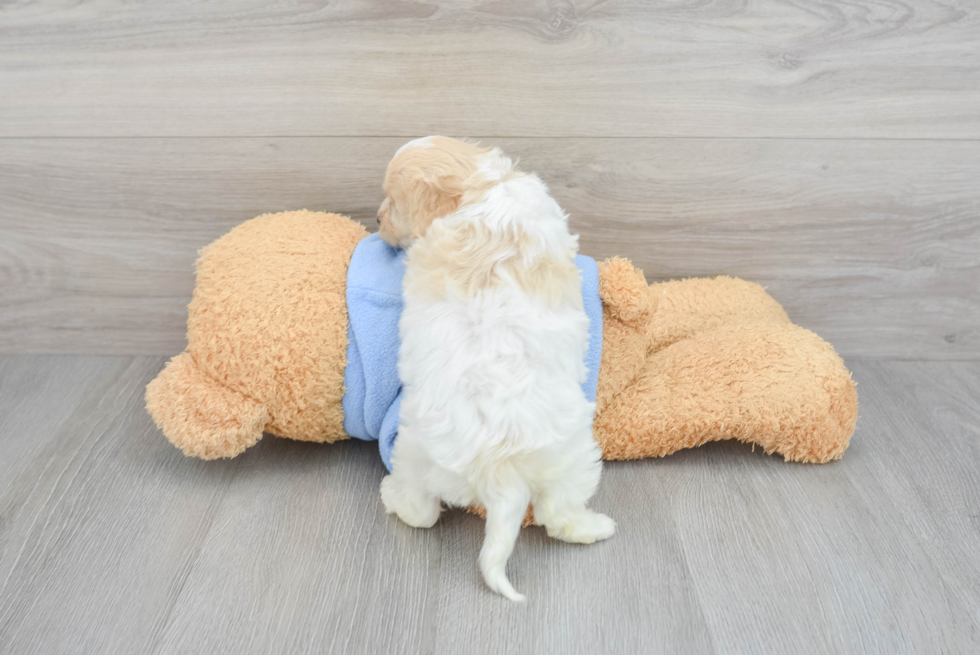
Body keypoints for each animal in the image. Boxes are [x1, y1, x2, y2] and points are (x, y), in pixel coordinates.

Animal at [378, 136, 612, 604]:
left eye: (391, 203)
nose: (375, 220)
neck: (479, 186)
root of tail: (500, 471)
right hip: (574, 455)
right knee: (558, 516)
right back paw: (597, 527)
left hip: (419, 454)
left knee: (423, 511)